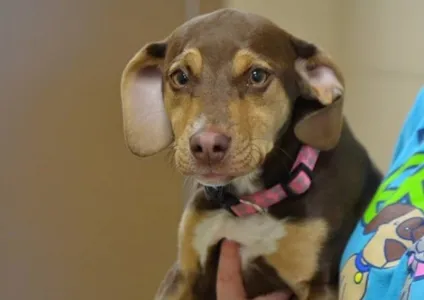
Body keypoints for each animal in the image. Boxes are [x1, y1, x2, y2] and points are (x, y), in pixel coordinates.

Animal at [120, 8, 384, 298]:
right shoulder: (183, 273)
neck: (251, 202)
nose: (207, 146)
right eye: (180, 77)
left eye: (257, 76)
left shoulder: (319, 285)